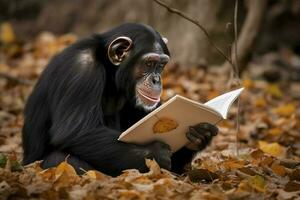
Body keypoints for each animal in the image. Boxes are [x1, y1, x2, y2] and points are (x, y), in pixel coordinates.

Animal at [21, 23, 218, 177]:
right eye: (149, 63)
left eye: (161, 65)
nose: (157, 79)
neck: (109, 70)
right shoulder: (81, 69)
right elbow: (75, 131)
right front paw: (155, 152)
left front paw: (200, 134)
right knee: (62, 158)